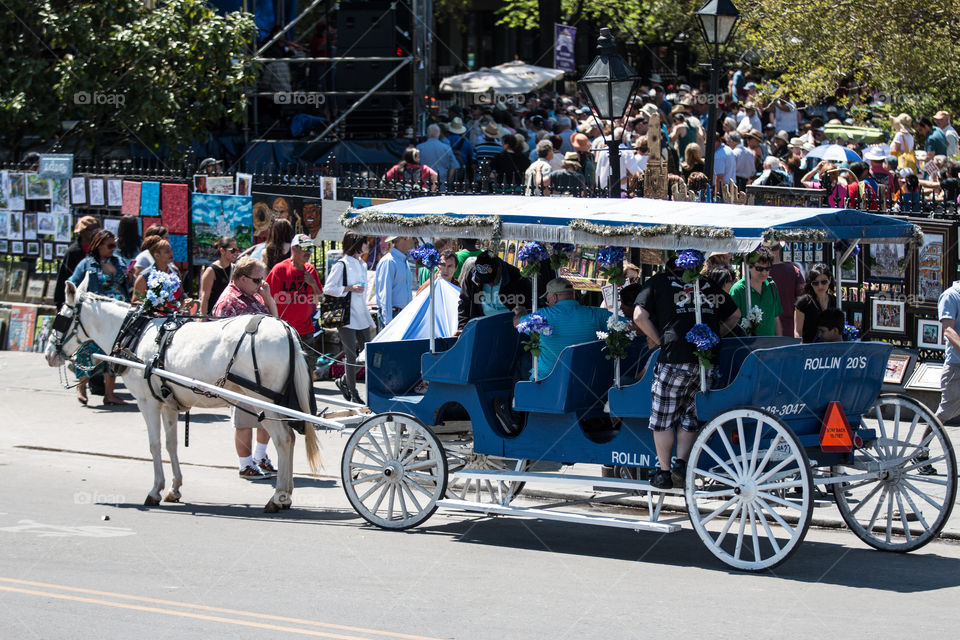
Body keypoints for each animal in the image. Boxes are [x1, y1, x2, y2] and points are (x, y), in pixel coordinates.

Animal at [46, 274, 322, 510]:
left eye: (60, 317)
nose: (49, 353)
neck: (135, 334)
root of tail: (286, 330)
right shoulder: (168, 403)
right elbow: (171, 444)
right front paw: (174, 488)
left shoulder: (147, 402)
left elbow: (154, 445)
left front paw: (155, 490)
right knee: (289, 439)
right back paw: (284, 494)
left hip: (263, 401)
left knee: (284, 439)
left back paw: (279, 497)